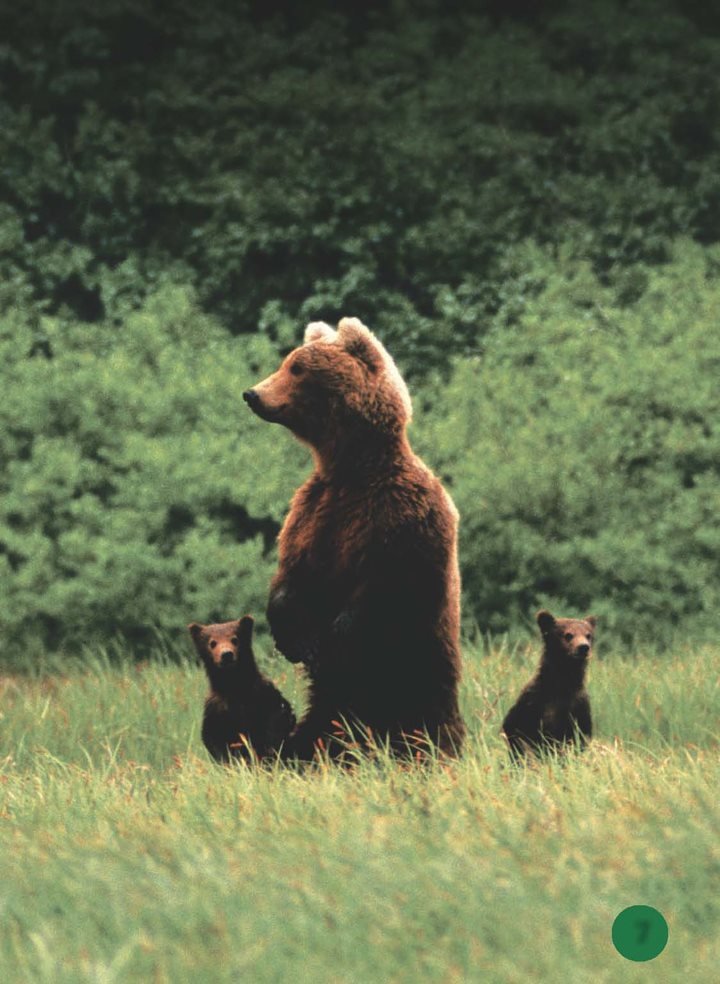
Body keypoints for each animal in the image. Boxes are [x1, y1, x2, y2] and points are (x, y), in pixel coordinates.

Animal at [243, 318, 466, 760]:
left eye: (297, 368)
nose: (253, 393)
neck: (351, 468)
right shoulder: (312, 511)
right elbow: (291, 573)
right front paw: (296, 639)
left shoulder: (399, 514)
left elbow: (383, 587)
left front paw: (329, 642)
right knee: (319, 726)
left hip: (416, 673)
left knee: (424, 724)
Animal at [500, 608, 596, 760]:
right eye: (568, 635)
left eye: (588, 635)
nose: (583, 647)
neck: (561, 685)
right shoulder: (531, 701)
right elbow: (514, 729)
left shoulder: (579, 706)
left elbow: (581, 736)